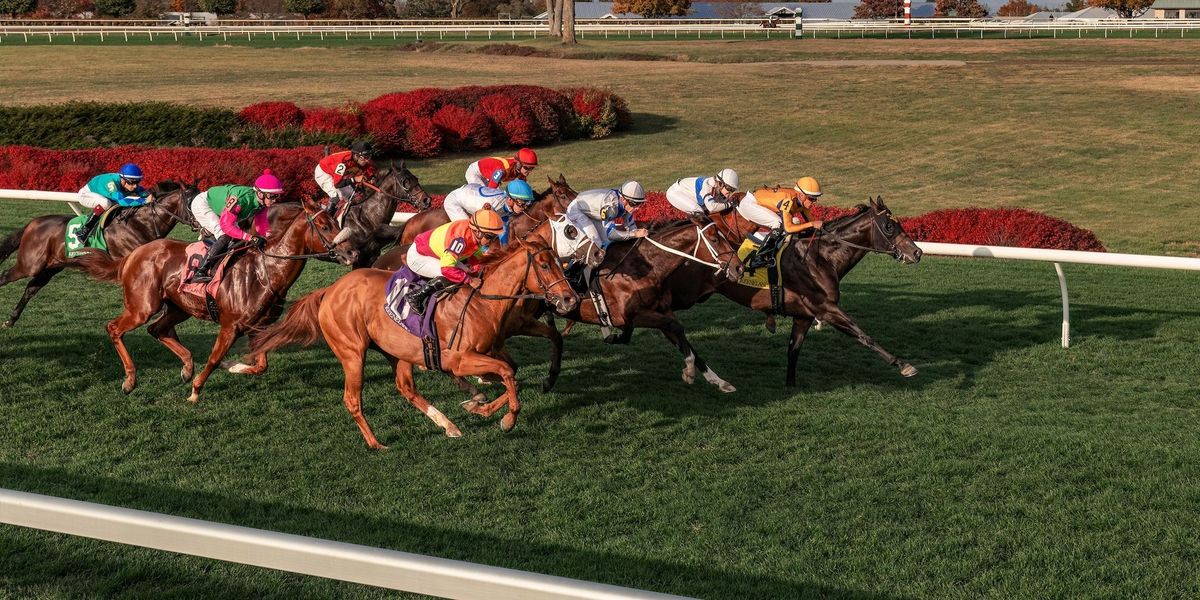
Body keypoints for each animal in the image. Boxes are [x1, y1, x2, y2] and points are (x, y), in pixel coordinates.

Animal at [0, 180, 194, 328]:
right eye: (193, 203)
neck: (140, 224)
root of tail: (33, 223)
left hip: (51, 267)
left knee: (31, 288)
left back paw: (11, 320)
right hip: (30, 264)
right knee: (5, 276)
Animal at [71, 198, 355, 403]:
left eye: (337, 222)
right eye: (326, 226)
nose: (352, 252)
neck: (265, 272)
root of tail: (132, 255)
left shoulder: (257, 327)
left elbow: (261, 365)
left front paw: (233, 367)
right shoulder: (230, 326)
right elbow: (215, 358)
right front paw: (196, 391)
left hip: (179, 307)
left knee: (157, 329)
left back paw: (186, 367)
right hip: (143, 306)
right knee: (114, 328)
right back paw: (130, 380)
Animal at [241, 220, 578, 451]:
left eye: (559, 261)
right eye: (544, 264)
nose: (570, 299)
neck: (483, 302)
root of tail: (330, 290)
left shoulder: (490, 351)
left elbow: (512, 376)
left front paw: (479, 407)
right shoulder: (460, 360)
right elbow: (507, 373)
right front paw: (506, 420)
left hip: (397, 351)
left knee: (406, 388)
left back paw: (448, 425)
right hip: (352, 352)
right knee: (352, 399)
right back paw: (376, 443)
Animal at [705, 194, 921, 386]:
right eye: (889, 226)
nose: (917, 252)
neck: (820, 258)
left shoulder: (804, 316)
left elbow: (793, 350)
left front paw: (790, 385)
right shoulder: (825, 308)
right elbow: (863, 335)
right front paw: (903, 365)